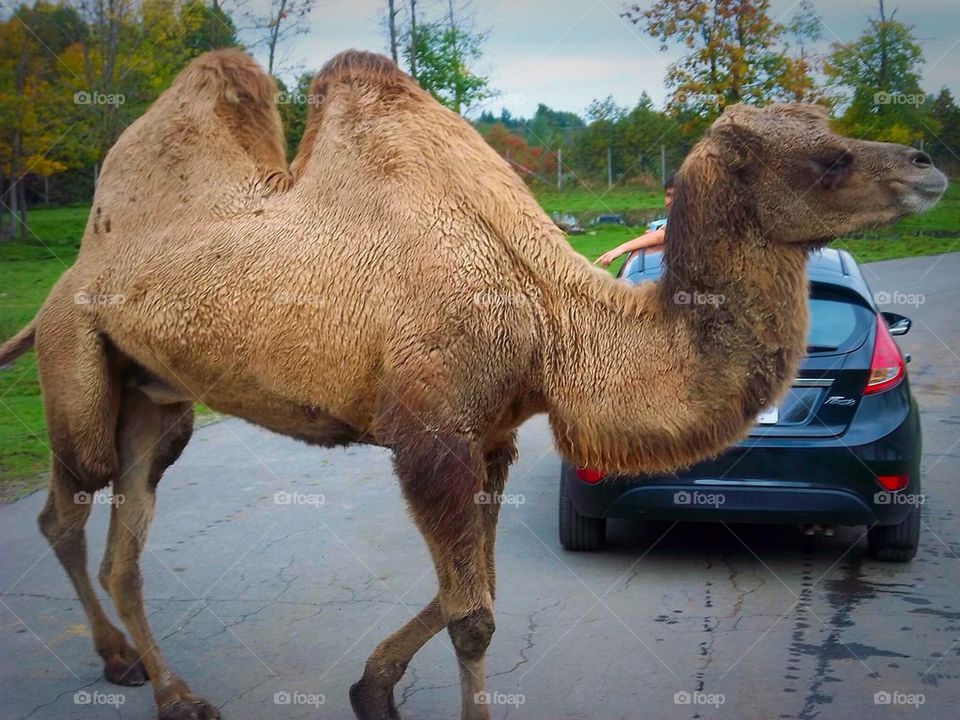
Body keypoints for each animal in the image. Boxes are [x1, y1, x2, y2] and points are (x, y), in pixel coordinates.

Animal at [0, 49, 947, 720]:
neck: (551, 318)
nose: (928, 164)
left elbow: (481, 588)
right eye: (829, 158)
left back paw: (154, 680)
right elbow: (476, 616)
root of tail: (66, 279)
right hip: (78, 354)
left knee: (124, 540)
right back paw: (146, 678)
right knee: (68, 508)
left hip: (158, 401)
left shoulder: (490, 436)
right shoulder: (431, 434)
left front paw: (371, 691)